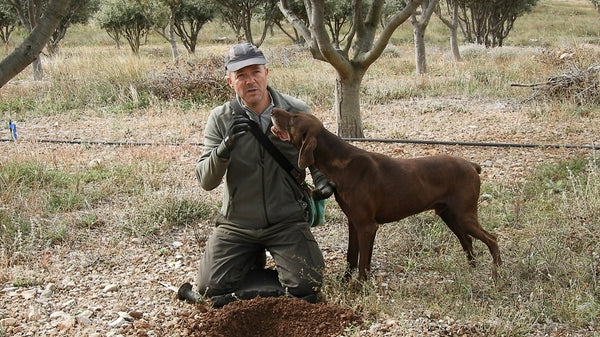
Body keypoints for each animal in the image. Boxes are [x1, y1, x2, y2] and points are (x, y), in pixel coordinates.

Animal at [272, 106, 502, 280]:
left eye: (293, 118)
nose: (273, 110)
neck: (342, 165)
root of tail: (471, 165)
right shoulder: (354, 223)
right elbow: (352, 257)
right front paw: (345, 280)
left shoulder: (367, 226)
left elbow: (362, 264)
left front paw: (359, 287)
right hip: (449, 214)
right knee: (468, 241)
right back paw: (472, 270)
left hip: (464, 215)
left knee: (492, 239)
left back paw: (497, 273)